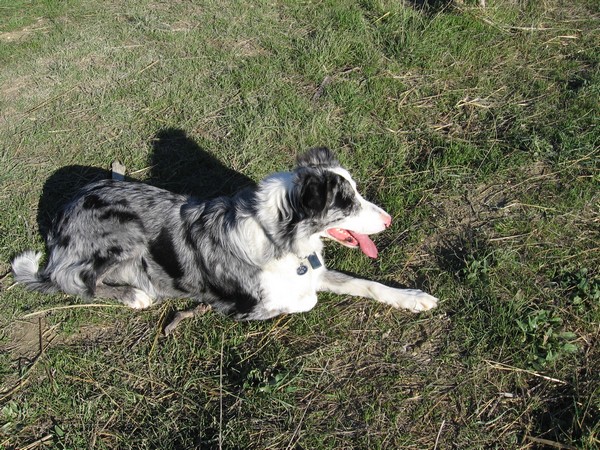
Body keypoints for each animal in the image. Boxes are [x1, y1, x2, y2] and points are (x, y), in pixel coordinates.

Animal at [11, 149, 438, 328]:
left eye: (357, 193)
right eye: (346, 203)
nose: (389, 220)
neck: (277, 238)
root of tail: (60, 216)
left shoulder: (315, 269)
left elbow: (366, 284)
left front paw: (413, 298)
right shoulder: (241, 307)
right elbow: (306, 301)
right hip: (121, 234)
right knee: (67, 279)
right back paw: (133, 294)